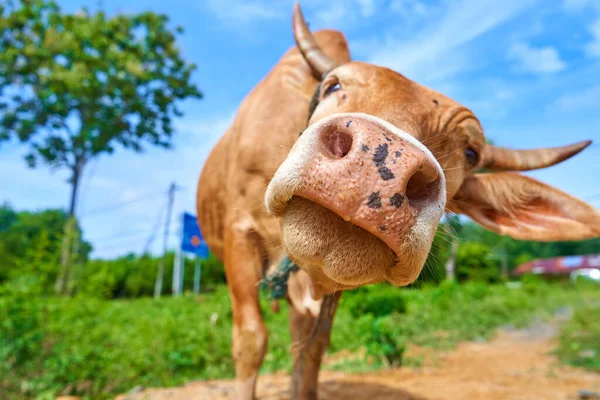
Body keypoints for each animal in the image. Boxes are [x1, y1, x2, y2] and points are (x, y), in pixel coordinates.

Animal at [197, 3, 600, 400]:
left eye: (470, 152)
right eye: (333, 85)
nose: (378, 165)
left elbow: (313, 349)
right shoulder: (238, 235)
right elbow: (251, 342)